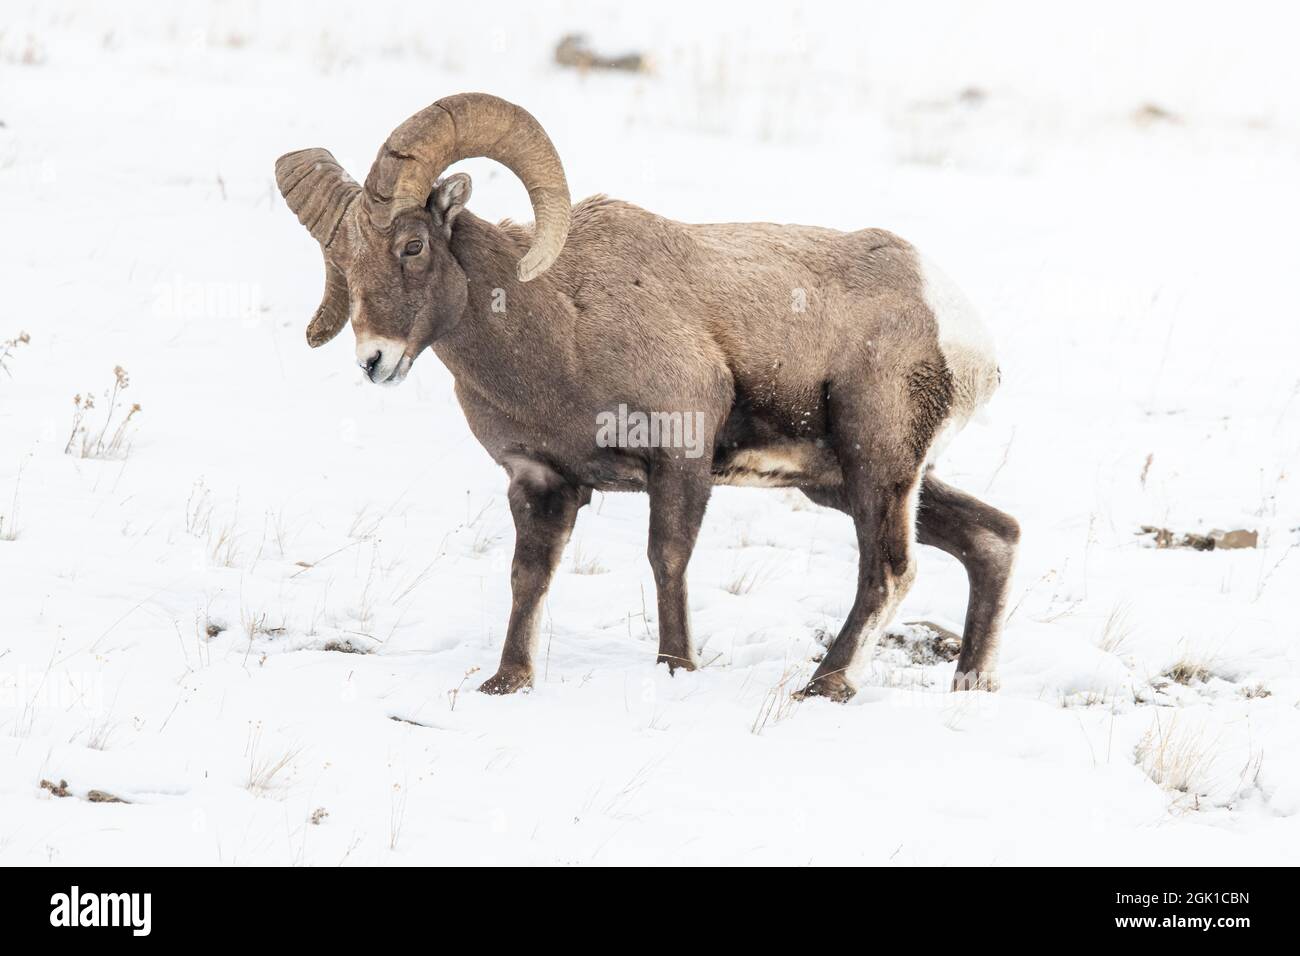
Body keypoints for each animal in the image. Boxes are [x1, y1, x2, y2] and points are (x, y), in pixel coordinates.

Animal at [279, 93, 1019, 697]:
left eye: (412, 245)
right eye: (343, 262)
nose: (375, 361)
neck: (559, 331)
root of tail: (962, 329)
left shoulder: (679, 460)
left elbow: (667, 560)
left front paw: (676, 667)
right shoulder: (540, 480)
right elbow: (528, 577)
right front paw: (507, 681)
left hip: (878, 466)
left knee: (889, 570)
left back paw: (827, 685)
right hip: (846, 481)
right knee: (994, 537)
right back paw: (972, 682)